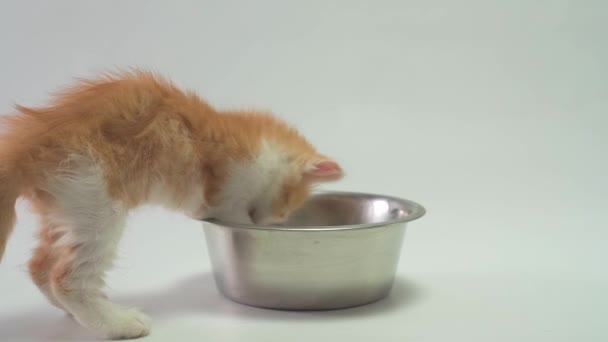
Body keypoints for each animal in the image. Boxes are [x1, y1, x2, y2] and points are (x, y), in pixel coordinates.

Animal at [0, 70, 342, 340]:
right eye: (285, 209)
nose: (270, 222)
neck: (261, 145)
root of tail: (28, 144)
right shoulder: (228, 192)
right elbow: (235, 211)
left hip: (66, 205)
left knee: (39, 267)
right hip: (95, 198)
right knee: (68, 278)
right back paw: (119, 323)